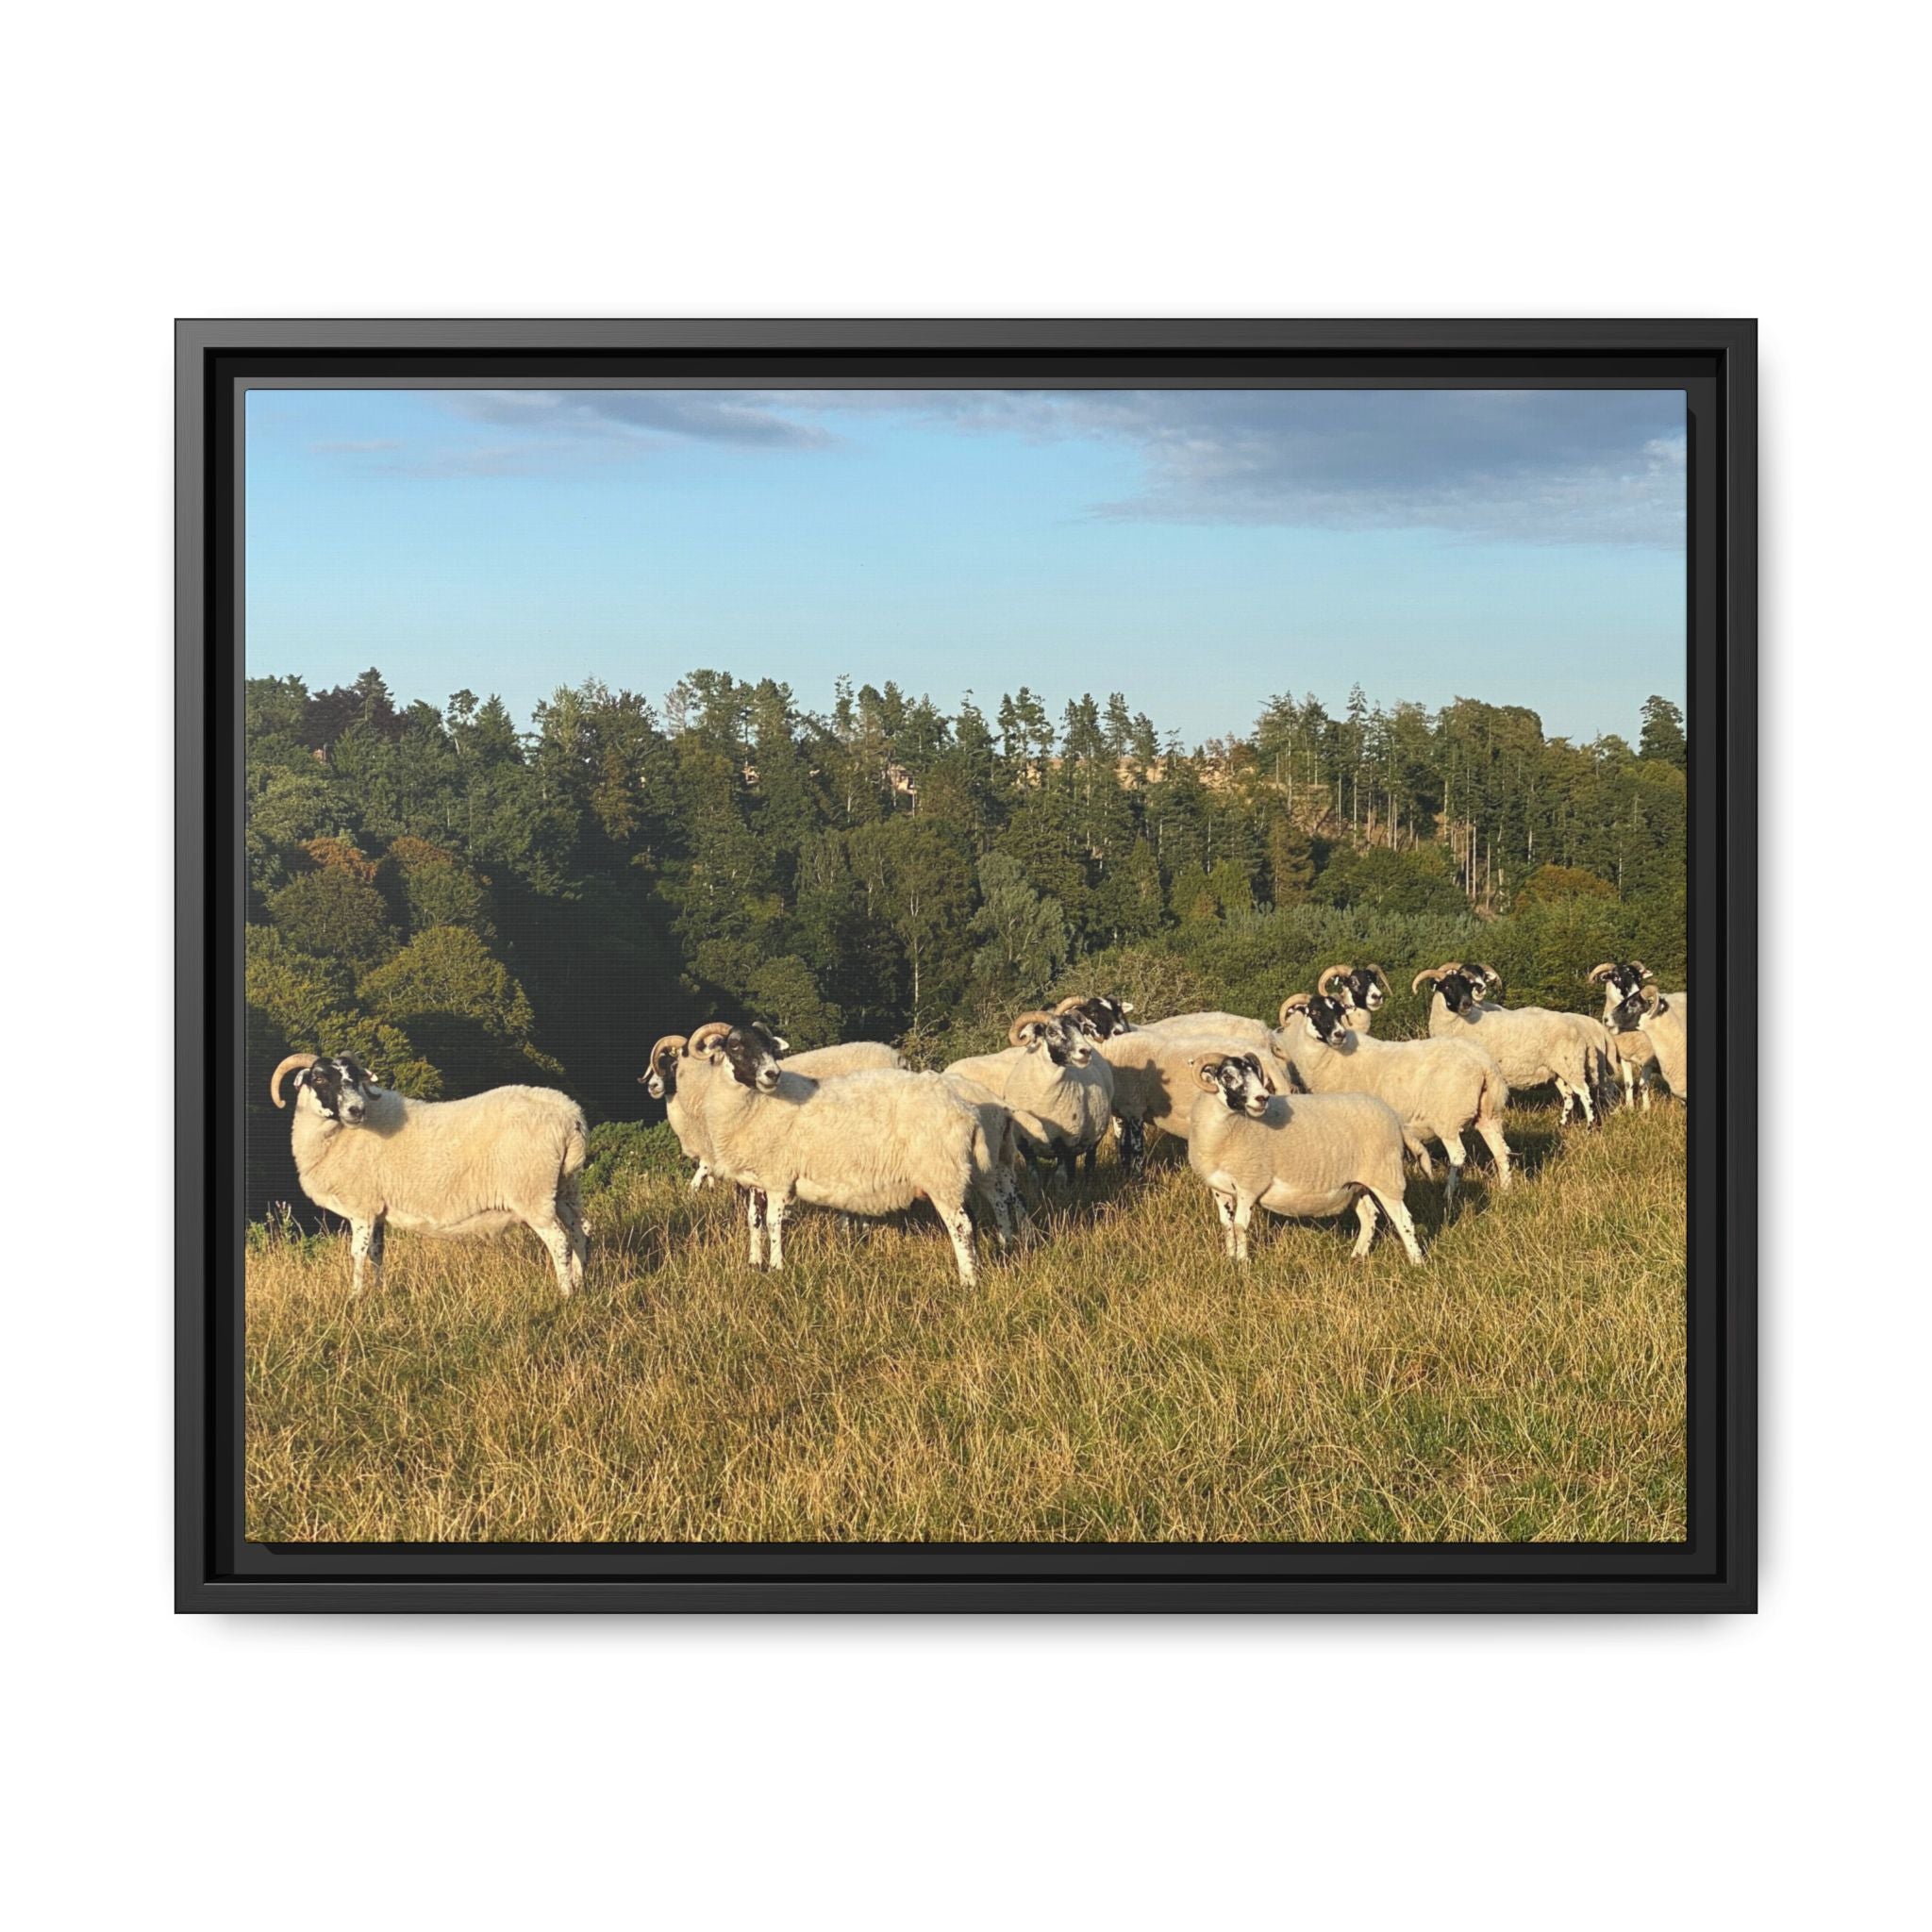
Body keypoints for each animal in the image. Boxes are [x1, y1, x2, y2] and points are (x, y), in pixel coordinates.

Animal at [268, 1051, 589, 1297]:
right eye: (320, 1079)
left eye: (355, 1079)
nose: (356, 1110)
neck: (338, 1137)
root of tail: (570, 1115)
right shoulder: (378, 1210)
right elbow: (377, 1253)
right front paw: (379, 1293)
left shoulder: (362, 1207)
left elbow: (357, 1254)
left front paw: (355, 1297)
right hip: (564, 1187)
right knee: (581, 1232)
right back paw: (581, 1284)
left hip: (532, 1192)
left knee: (559, 1241)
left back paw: (565, 1294)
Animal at [696, 1027, 989, 1284]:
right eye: (735, 1045)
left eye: (770, 1046)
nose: (772, 1073)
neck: (758, 1105)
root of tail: (966, 1111)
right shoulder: (757, 1179)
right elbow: (754, 1222)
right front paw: (754, 1263)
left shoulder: (779, 1177)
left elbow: (772, 1223)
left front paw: (777, 1267)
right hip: (952, 1176)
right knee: (971, 1221)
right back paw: (975, 1269)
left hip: (941, 1174)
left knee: (961, 1226)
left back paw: (968, 1281)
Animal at [1185, 1050, 1423, 1265]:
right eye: (1227, 1076)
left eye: (1255, 1074)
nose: (1262, 1098)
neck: (1230, 1128)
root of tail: (1394, 1117)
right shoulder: (1219, 1189)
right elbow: (1227, 1225)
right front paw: (1230, 1259)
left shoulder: (1249, 1184)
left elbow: (1240, 1226)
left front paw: (1243, 1264)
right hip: (1357, 1183)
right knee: (1370, 1215)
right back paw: (1356, 1257)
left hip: (1386, 1176)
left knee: (1404, 1220)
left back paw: (1416, 1262)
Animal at [1270, 993, 1512, 1209]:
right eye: (1316, 1012)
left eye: (1339, 1012)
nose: (1339, 1034)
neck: (1332, 1057)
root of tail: (1484, 1064)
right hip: (1488, 1112)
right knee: (1501, 1150)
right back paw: (1505, 1189)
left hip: (1449, 1117)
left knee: (1458, 1156)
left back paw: (1449, 1196)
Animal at [1412, 961, 1608, 1126]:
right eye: (1447, 986)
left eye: (1468, 986)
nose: (1467, 1003)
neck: (1462, 1023)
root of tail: (1581, 1030)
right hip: (1559, 1070)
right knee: (1569, 1097)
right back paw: (1563, 1124)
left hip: (1572, 1065)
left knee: (1585, 1094)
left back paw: (1591, 1127)